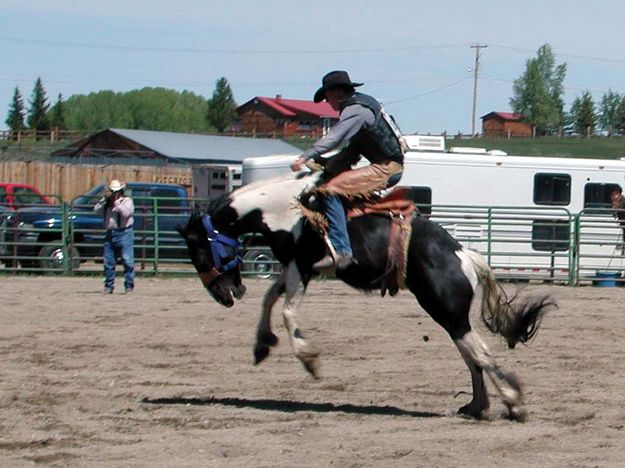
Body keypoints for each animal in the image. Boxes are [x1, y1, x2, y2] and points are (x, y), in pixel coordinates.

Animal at [177, 168, 556, 420]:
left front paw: (309, 360)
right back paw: (478, 406)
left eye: (198, 250)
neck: (285, 210)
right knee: (472, 355)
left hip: (447, 311)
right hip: (449, 315)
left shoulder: (302, 265)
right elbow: (270, 298)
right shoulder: (296, 267)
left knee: (481, 353)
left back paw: (513, 402)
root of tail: (465, 256)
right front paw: (261, 345)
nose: (225, 294)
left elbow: (286, 310)